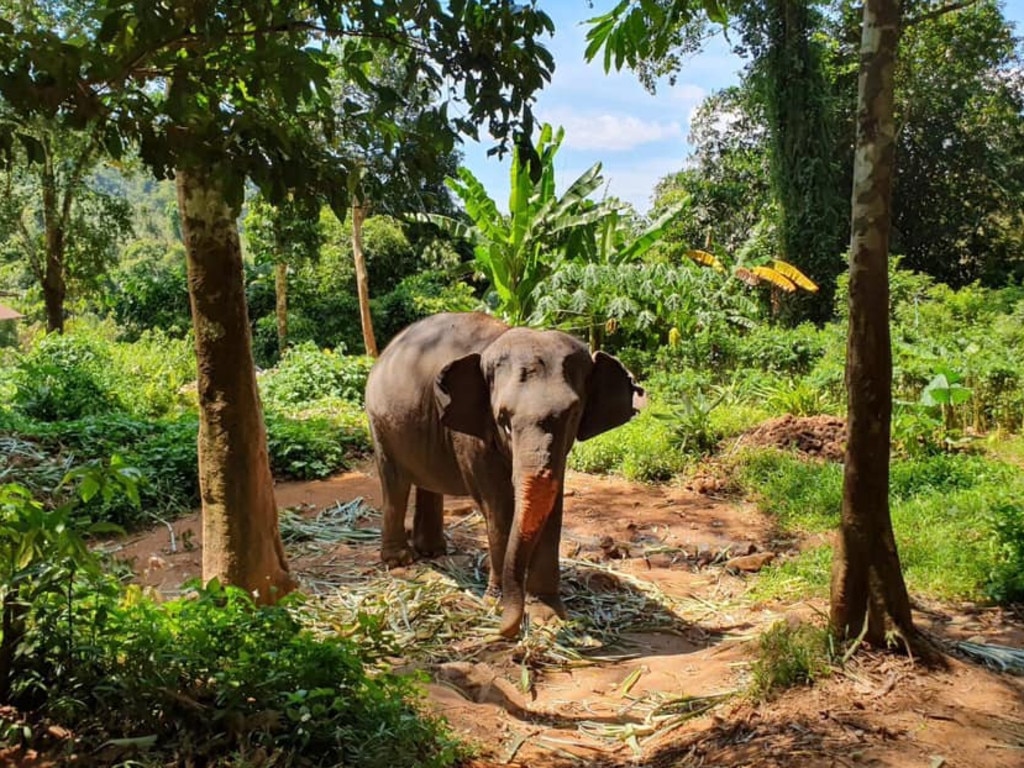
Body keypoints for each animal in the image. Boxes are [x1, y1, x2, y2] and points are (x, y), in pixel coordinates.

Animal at [364, 311, 643, 638]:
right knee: (394, 481)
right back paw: (400, 560)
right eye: (503, 420)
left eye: (573, 414)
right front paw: (497, 605)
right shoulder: (472, 436)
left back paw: (432, 551)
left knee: (428, 482)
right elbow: (499, 508)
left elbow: (553, 507)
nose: (503, 630)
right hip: (379, 421)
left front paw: (548, 615)